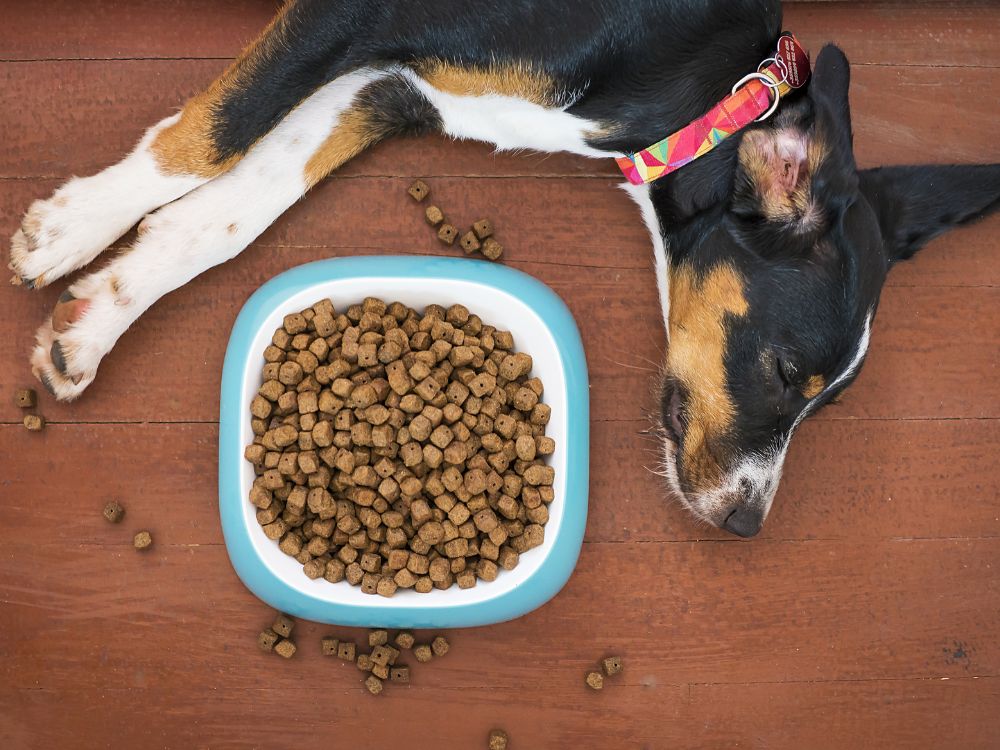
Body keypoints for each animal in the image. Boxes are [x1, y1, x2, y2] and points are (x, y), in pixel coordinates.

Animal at [9, 1, 1000, 540]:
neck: (708, 89)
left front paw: (98, 315)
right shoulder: (356, 15)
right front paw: (69, 229)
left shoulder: (395, 86)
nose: (745, 525)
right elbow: (215, 133)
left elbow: (232, 208)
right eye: (791, 372)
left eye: (824, 403)